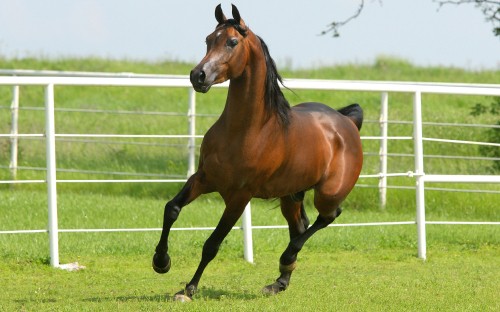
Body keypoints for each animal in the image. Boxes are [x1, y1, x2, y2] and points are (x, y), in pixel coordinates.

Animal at [152, 4, 364, 302]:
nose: (198, 76)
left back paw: (286, 259)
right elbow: (171, 209)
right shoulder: (204, 178)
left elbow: (212, 244)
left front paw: (189, 289)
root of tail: (347, 122)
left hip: (328, 193)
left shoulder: (240, 197)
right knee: (300, 226)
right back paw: (279, 281)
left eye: (232, 42)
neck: (246, 131)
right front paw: (161, 262)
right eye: (208, 39)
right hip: (291, 195)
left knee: (327, 217)